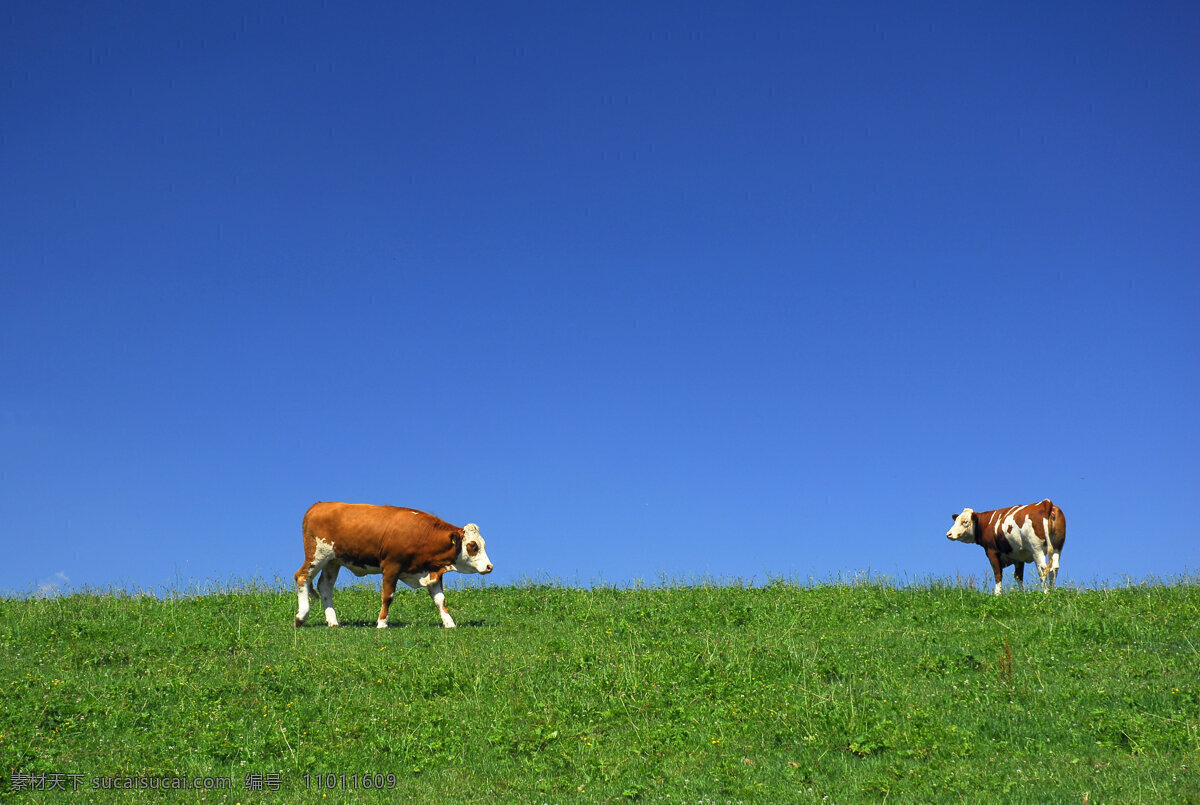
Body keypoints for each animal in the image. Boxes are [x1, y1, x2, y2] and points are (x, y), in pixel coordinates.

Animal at [294, 503, 492, 628]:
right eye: (472, 546)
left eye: (483, 544)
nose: (490, 566)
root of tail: (318, 505)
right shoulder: (391, 566)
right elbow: (388, 596)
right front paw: (382, 623)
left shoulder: (433, 572)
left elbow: (440, 599)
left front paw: (449, 623)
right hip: (317, 555)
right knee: (302, 577)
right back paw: (301, 617)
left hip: (333, 561)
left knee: (325, 586)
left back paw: (333, 621)